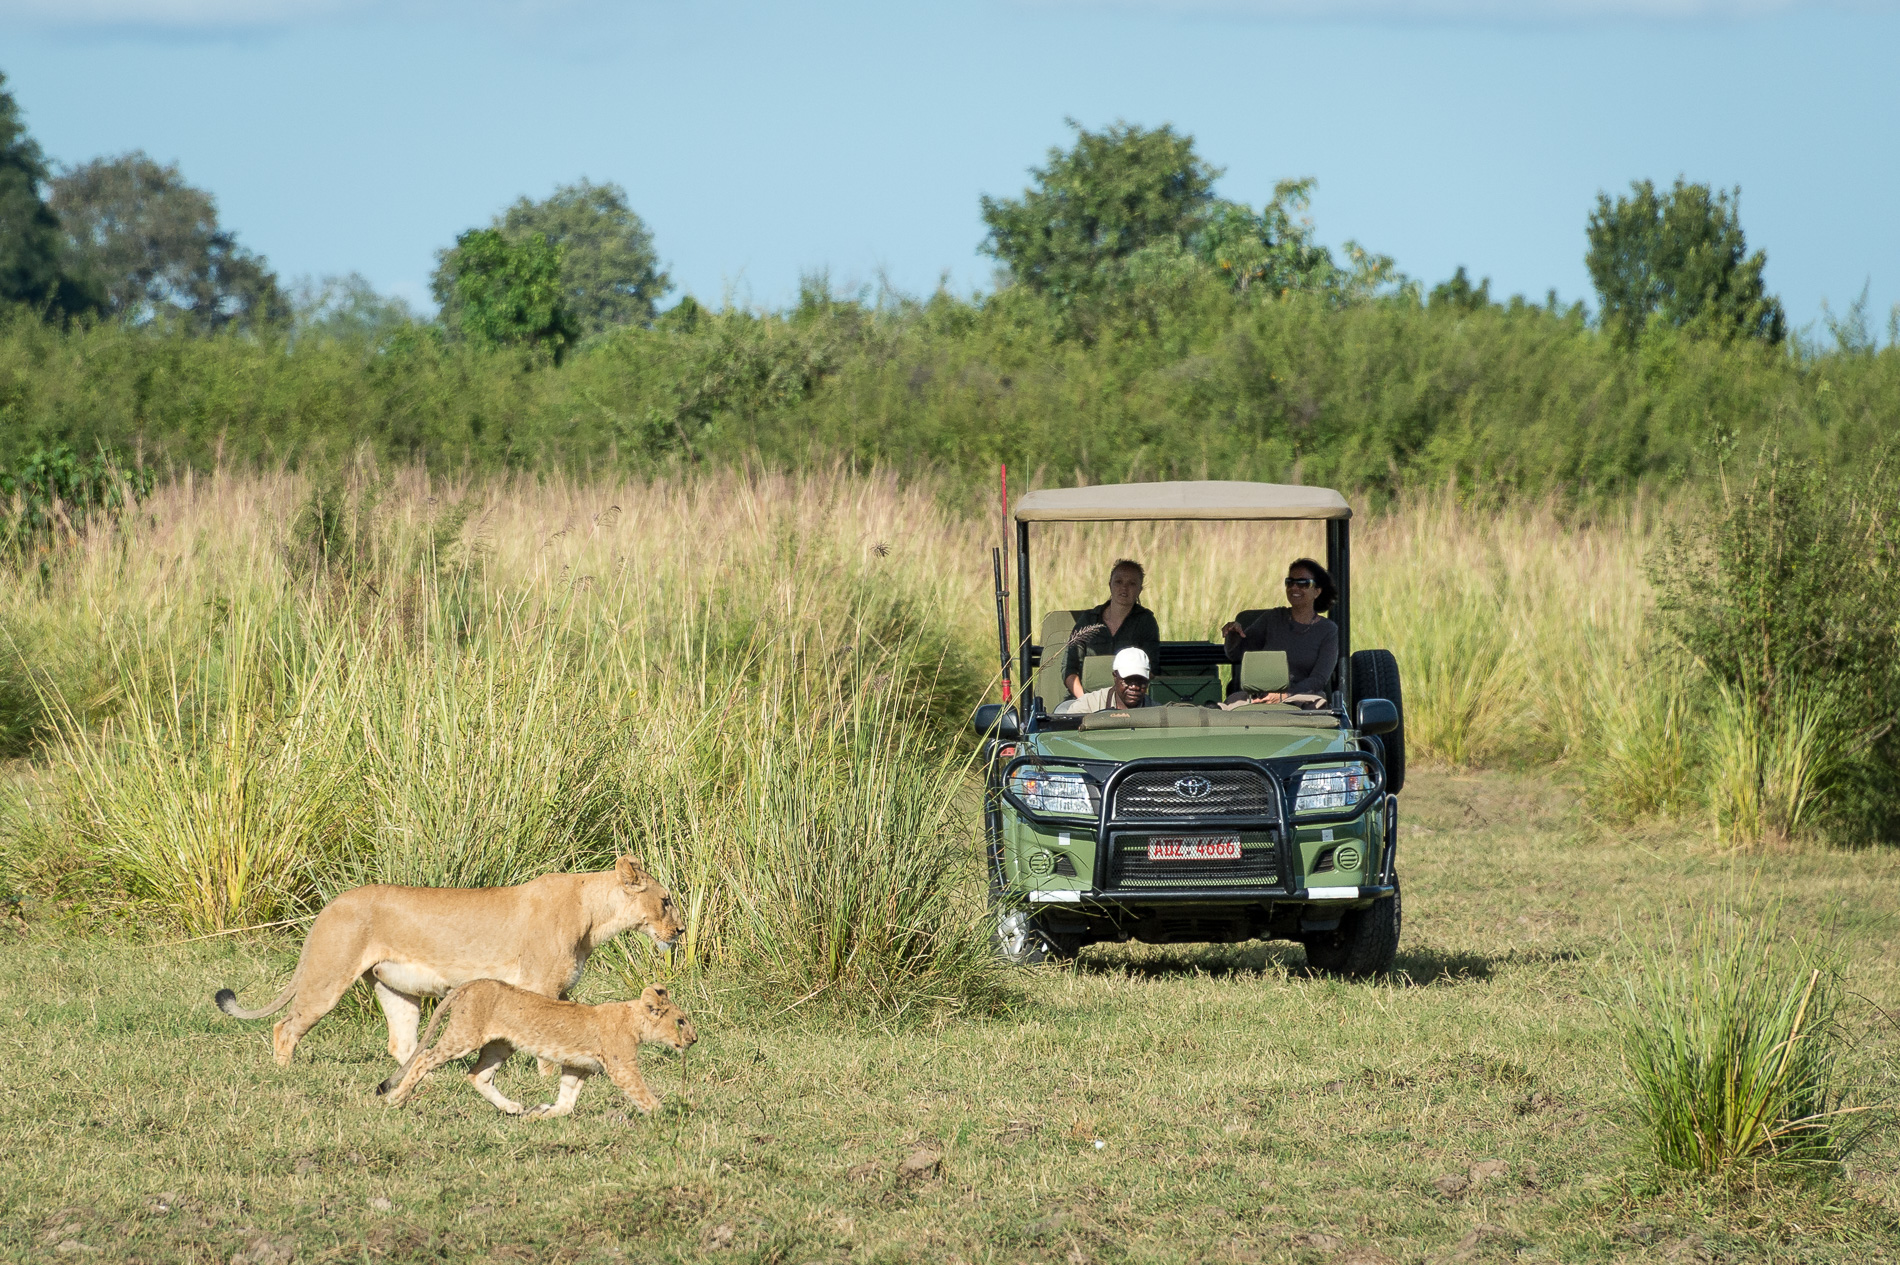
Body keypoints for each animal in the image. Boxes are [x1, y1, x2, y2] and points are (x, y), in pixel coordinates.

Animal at [214, 858, 684, 1067]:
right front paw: (546, 1076)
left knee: (402, 1044)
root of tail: (330, 905)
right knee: (285, 1026)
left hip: (393, 986)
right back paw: (285, 1072)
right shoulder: (540, 985)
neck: (594, 916)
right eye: (665, 900)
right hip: (329, 977)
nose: (680, 931)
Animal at [375, 978, 697, 1118]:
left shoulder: (576, 1066)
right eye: (680, 1021)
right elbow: (641, 1092)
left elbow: (567, 1101)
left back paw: (513, 1108)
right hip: (464, 1037)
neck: (633, 1018)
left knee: (478, 1075)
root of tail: (470, 984)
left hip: (500, 1045)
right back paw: (396, 1099)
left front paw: (543, 1112)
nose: (694, 1039)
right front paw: (667, 1115)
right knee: (424, 1058)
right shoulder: (621, 1064)